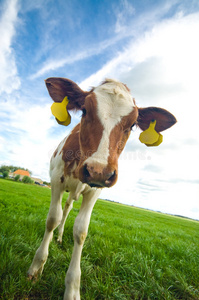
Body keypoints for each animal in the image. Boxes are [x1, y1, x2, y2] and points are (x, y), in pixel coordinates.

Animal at [27, 78, 176, 300]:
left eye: (133, 124)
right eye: (84, 110)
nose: (98, 171)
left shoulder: (95, 191)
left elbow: (80, 231)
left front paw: (72, 289)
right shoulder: (56, 180)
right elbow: (52, 219)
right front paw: (36, 267)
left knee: (68, 209)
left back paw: (60, 236)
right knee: (62, 212)